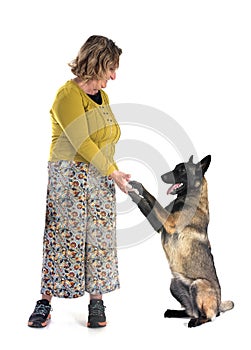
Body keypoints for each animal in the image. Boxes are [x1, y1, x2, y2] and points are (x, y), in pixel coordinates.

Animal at [128, 154, 234, 326]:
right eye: (175, 167)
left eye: (182, 170)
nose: (163, 176)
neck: (191, 197)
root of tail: (219, 304)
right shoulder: (160, 224)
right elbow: (145, 201)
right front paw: (135, 188)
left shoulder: (169, 221)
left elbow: (153, 199)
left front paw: (138, 189)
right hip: (174, 283)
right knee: (191, 311)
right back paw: (174, 313)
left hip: (198, 284)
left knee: (209, 316)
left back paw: (196, 322)